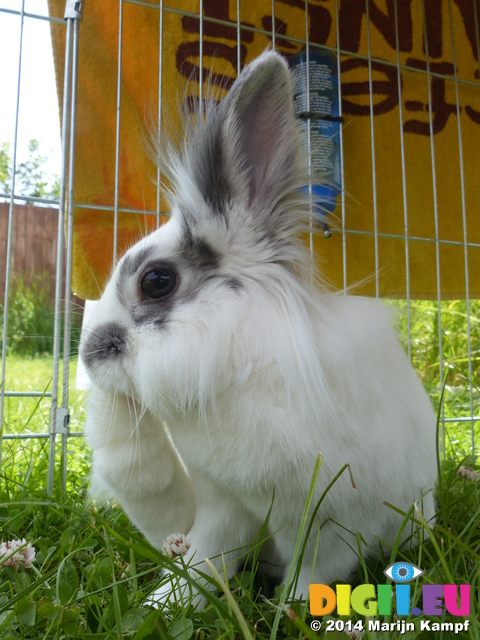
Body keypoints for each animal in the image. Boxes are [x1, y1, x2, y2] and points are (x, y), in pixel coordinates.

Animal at [80, 50, 436, 604]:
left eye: (157, 281)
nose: (89, 354)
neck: (241, 367)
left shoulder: (331, 520)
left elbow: (315, 570)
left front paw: (293, 607)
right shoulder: (224, 502)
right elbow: (208, 556)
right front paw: (169, 601)